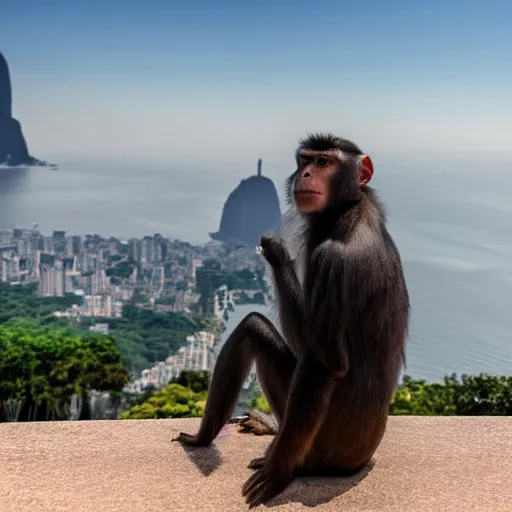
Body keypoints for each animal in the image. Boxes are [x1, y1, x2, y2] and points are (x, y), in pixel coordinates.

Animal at [174, 132, 410, 508]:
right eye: (306, 160)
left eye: (324, 162)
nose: (306, 175)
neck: (349, 210)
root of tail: (361, 462)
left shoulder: (332, 261)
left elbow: (324, 362)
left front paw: (276, 473)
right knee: (255, 331)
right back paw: (243, 431)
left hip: (318, 454)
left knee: (256, 329)